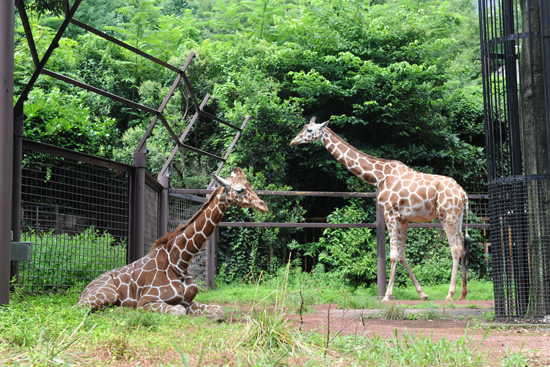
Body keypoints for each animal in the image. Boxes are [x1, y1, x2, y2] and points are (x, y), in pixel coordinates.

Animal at [79, 168, 270, 318]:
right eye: (239, 190)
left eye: (251, 186)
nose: (263, 206)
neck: (180, 262)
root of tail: (83, 291)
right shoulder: (146, 301)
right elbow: (178, 311)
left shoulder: (188, 301)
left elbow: (218, 310)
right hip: (107, 295)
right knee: (81, 309)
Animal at [292, 118, 472, 302]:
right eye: (303, 128)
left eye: (309, 130)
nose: (293, 141)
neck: (379, 177)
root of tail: (462, 193)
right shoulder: (403, 218)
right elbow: (401, 254)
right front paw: (422, 293)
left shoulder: (389, 213)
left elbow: (393, 255)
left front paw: (387, 295)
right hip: (457, 217)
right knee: (463, 248)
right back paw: (463, 293)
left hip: (447, 216)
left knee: (456, 249)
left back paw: (450, 294)